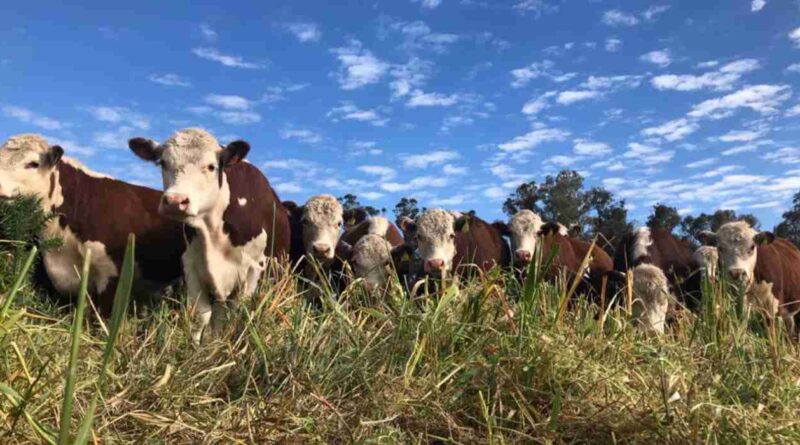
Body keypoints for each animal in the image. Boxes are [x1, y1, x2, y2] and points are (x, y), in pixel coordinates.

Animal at [130, 128, 292, 340]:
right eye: (163, 163)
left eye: (211, 166)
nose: (175, 201)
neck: (212, 230)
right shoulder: (190, 264)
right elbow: (202, 315)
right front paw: (197, 344)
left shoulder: (254, 268)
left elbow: (238, 312)